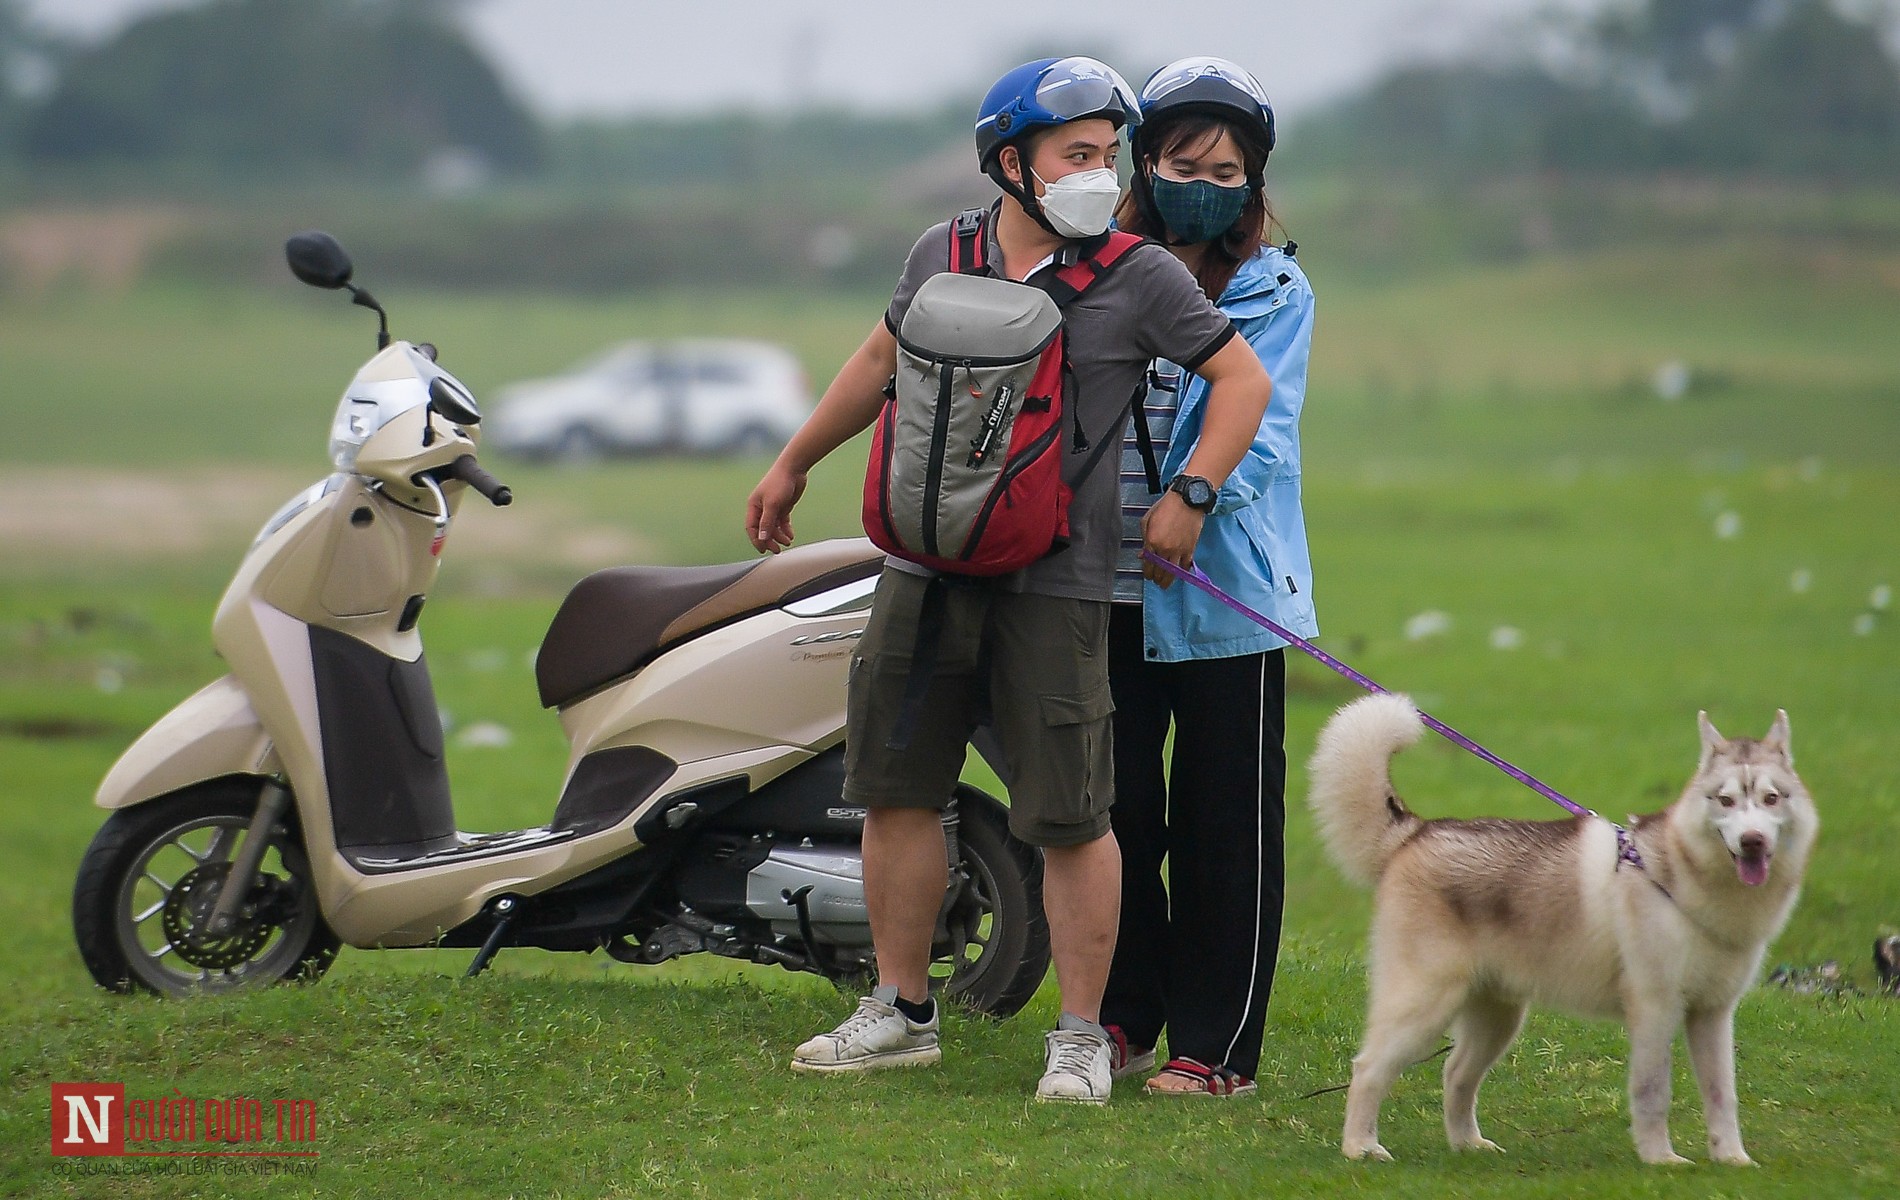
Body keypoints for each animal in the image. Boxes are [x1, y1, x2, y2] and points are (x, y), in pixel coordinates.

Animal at [1314, 694, 1816, 1162]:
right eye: (1726, 800)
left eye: (1771, 798)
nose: (1752, 841)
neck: (1680, 878)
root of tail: (1416, 831)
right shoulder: (1655, 1010)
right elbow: (1653, 1092)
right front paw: (1661, 1159)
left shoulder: (1713, 1014)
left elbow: (1722, 1095)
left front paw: (1731, 1157)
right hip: (1423, 1004)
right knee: (1368, 1069)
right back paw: (1360, 1147)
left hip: (1498, 1017)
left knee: (1455, 1074)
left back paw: (1468, 1145)